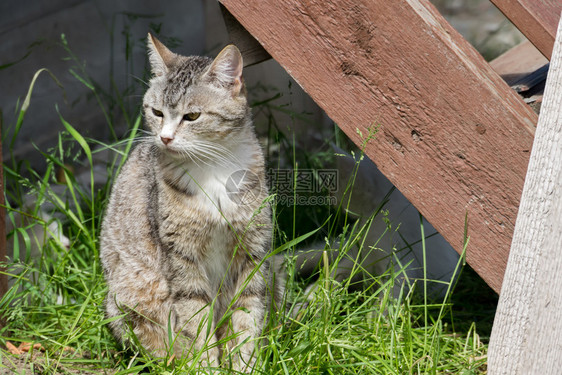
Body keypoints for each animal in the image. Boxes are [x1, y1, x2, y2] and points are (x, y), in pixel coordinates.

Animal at [99, 34, 282, 374]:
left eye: (192, 116)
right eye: (157, 112)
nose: (165, 138)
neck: (213, 168)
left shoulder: (253, 252)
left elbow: (246, 317)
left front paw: (243, 365)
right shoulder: (182, 258)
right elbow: (196, 321)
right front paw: (207, 366)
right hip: (129, 298)